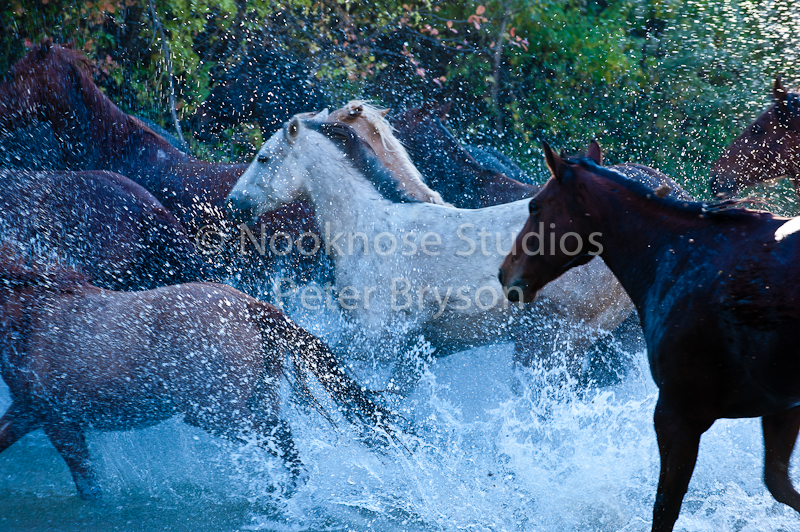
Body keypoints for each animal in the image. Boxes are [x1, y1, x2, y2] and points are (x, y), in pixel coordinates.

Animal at [0, 248, 393, 499]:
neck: (34, 318)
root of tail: (250, 307)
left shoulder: (54, 419)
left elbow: (87, 482)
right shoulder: (27, 410)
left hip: (216, 412)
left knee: (278, 439)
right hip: (255, 399)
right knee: (281, 437)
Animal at [225, 117, 633, 373]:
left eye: (263, 158)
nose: (234, 202)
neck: (368, 231)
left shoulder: (376, 340)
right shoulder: (412, 350)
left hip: (550, 340)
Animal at [499, 143, 800, 532]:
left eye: (534, 206)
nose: (505, 274)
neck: (676, 256)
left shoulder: (677, 414)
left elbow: (664, 507)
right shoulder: (781, 407)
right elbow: (780, 485)